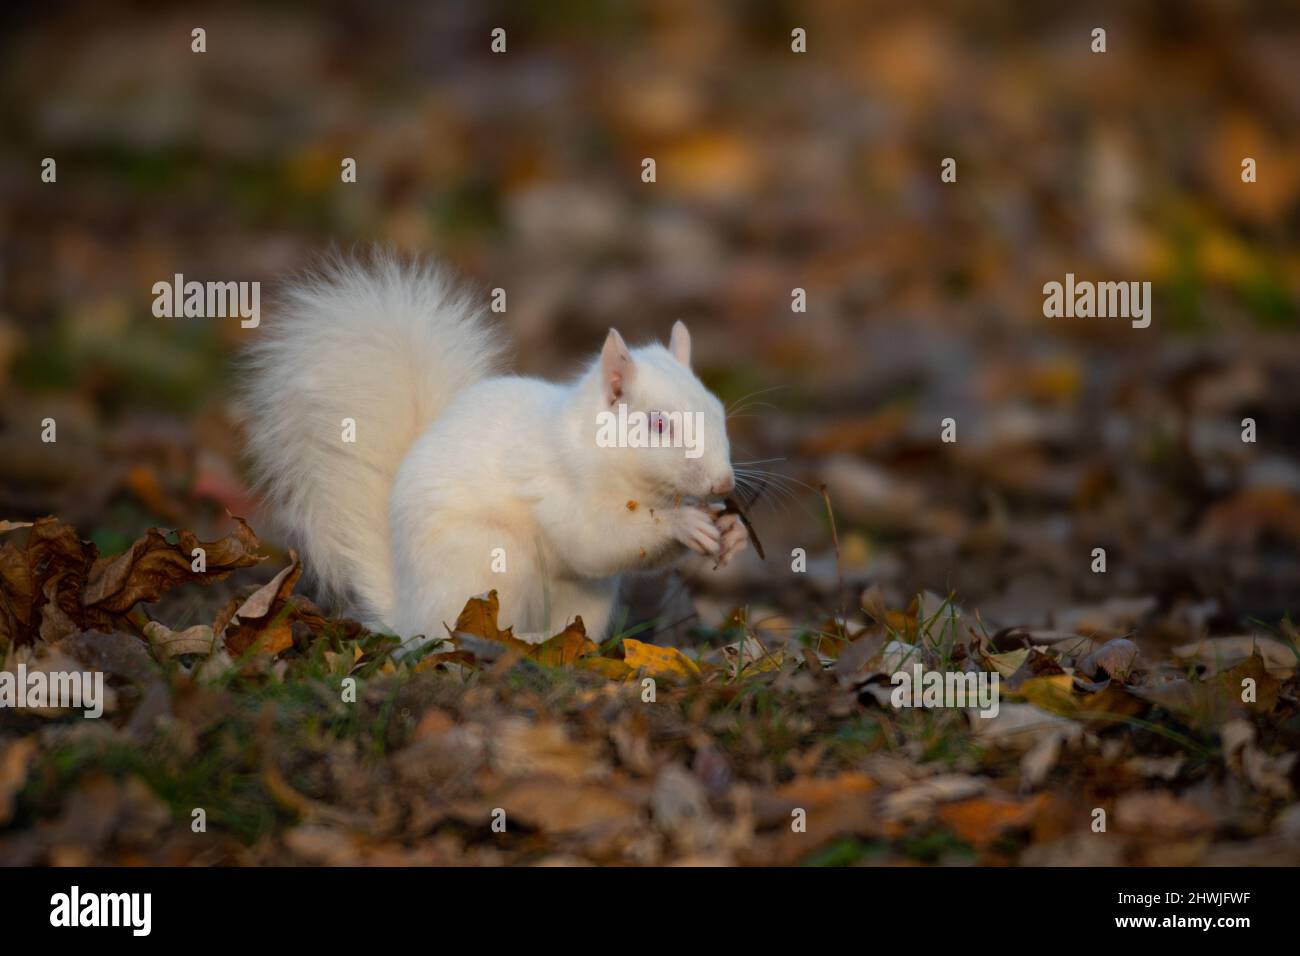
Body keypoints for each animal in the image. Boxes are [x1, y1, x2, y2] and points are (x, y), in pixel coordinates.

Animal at [239, 253, 748, 652]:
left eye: (718, 411)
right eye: (659, 424)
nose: (723, 483)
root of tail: (407, 612)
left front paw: (733, 532)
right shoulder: (561, 488)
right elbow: (595, 539)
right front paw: (684, 523)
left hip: (587, 598)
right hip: (492, 563)